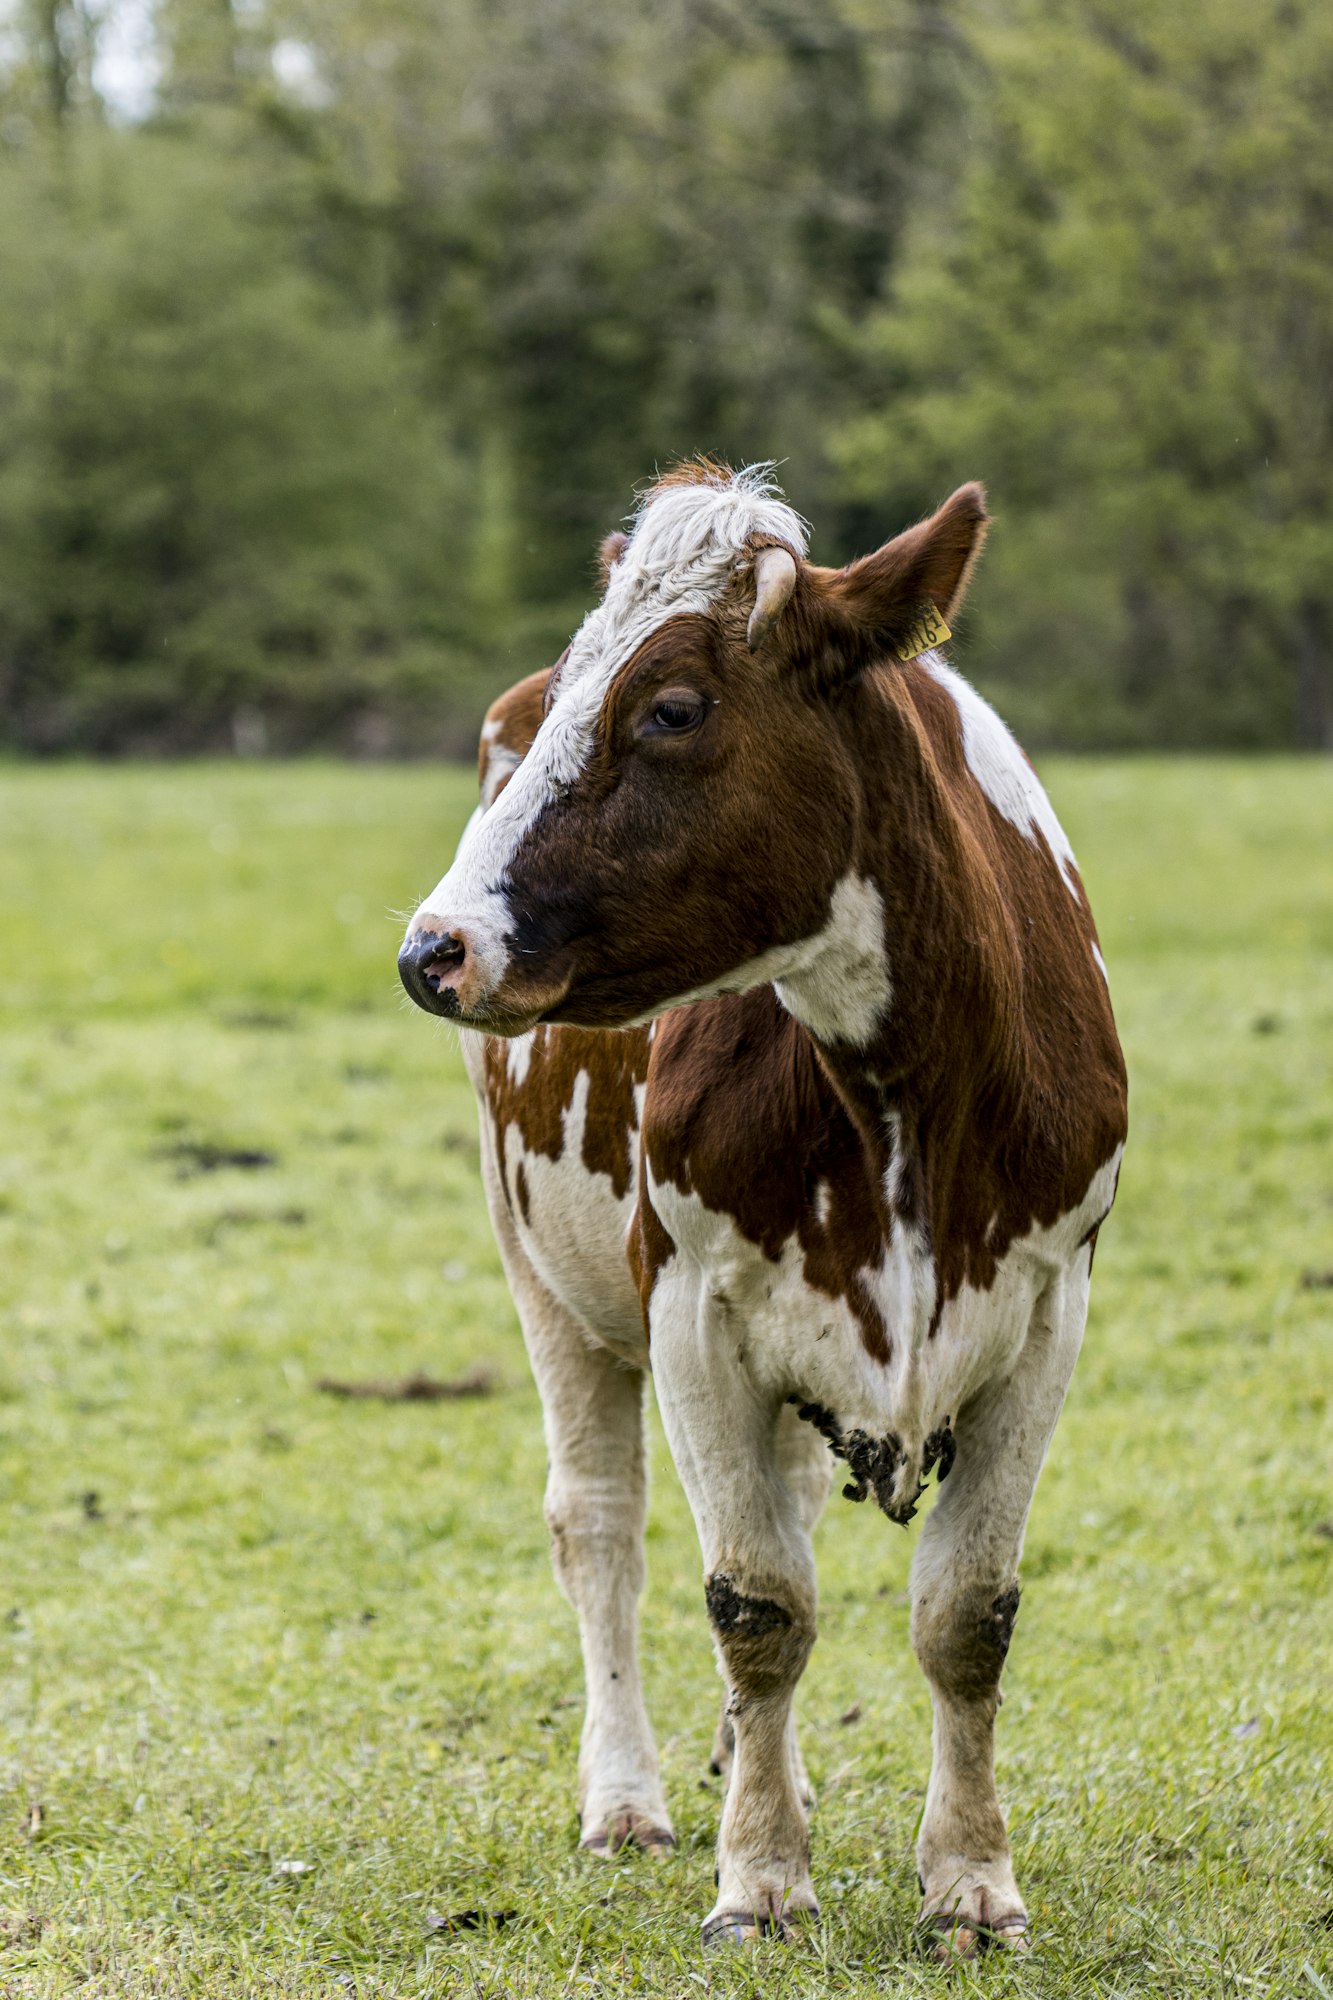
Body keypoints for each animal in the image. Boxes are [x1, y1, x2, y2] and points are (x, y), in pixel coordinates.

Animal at [397, 460, 1128, 1956]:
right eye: (573, 692)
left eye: (671, 707)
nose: (435, 945)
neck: (905, 1098)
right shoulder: (692, 1305)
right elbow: (757, 1602)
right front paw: (761, 1876)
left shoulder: (1047, 1308)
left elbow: (967, 1613)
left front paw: (970, 1880)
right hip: (541, 1271)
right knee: (601, 1525)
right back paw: (630, 1796)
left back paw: (749, 1759)